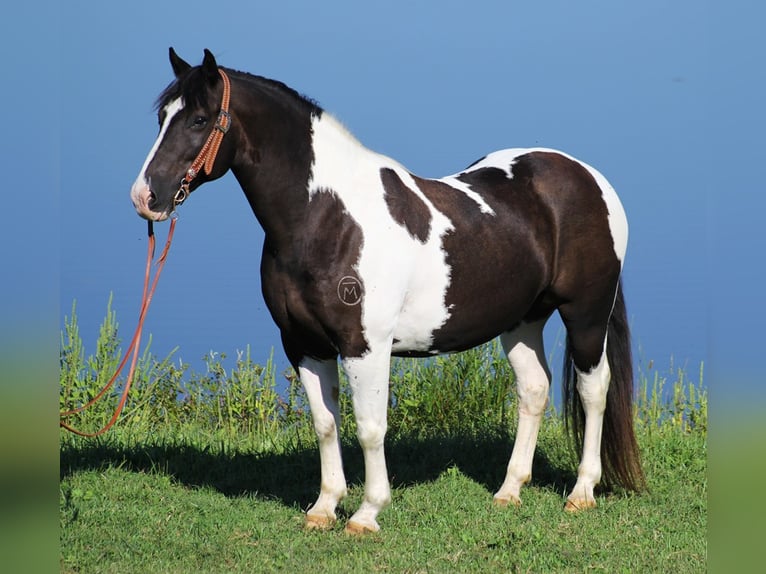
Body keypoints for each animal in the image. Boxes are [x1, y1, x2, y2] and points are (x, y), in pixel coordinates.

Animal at [130, 48, 640, 536]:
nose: (145, 197)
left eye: (199, 119)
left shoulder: (365, 346)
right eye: (161, 118)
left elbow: (371, 428)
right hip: (522, 319)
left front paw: (366, 513)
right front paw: (323, 509)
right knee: (534, 389)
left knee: (594, 389)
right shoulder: (304, 344)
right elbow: (325, 424)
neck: (326, 219)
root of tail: (587, 176)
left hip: (586, 314)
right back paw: (509, 491)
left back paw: (581, 492)